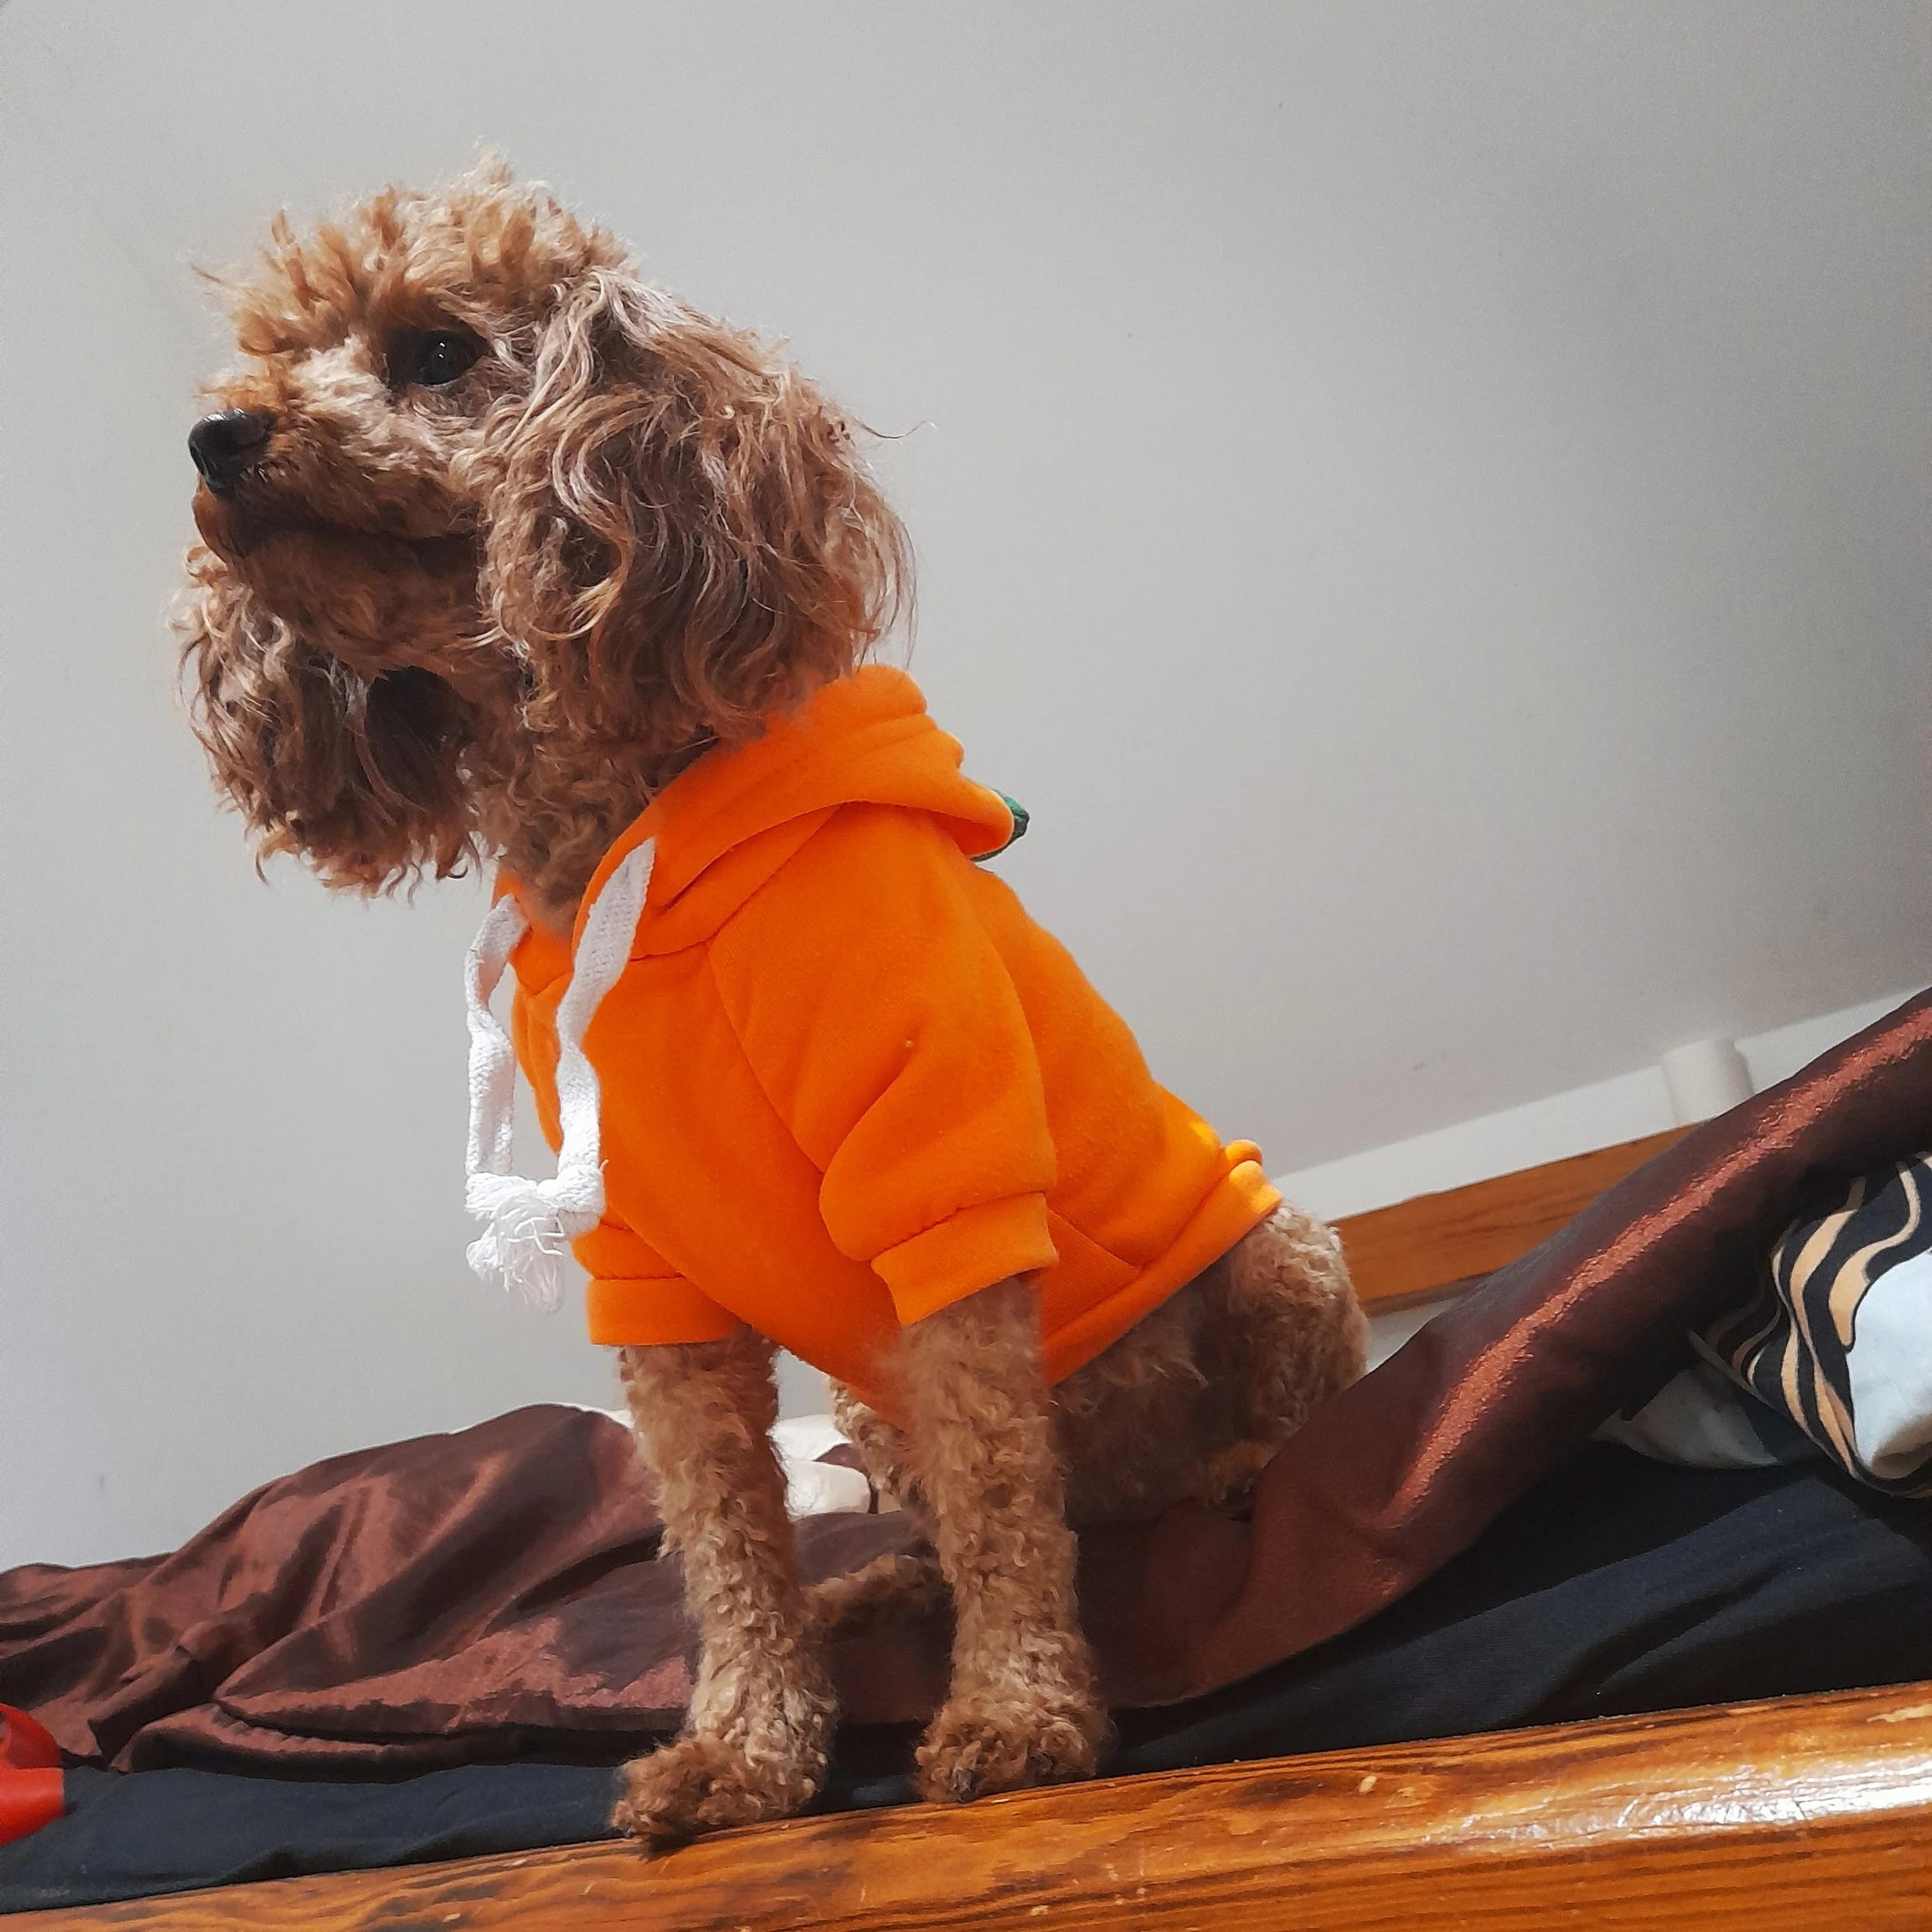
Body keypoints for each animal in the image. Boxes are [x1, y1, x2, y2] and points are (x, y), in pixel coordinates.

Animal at [177, 162, 1365, 1841]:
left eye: (435, 354)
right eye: (274, 353)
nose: (215, 437)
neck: (618, 838)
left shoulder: (938, 1178)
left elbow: (1003, 1495)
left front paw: (1019, 1713)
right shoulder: (650, 1278)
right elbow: (728, 1543)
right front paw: (746, 1744)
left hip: (1279, 1249)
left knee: (1206, 1443)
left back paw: (1235, 1476)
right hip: (879, 1414)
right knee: (981, 1513)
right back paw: (881, 1592)